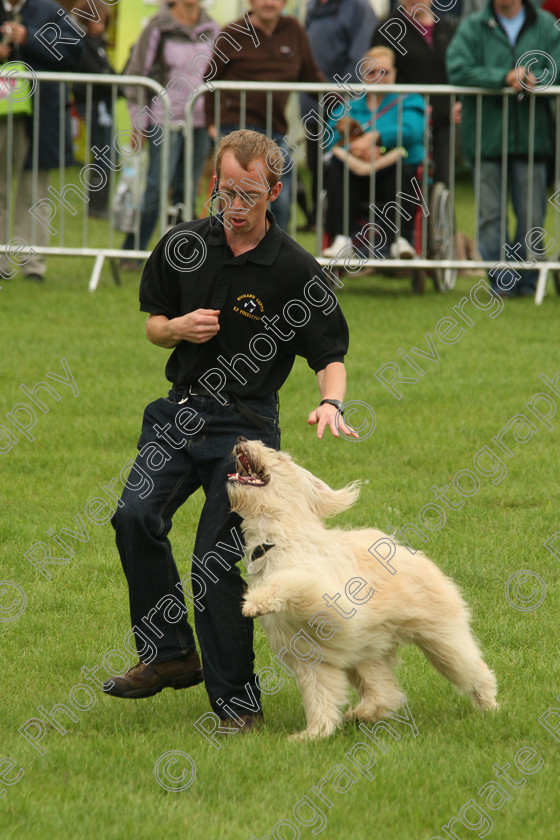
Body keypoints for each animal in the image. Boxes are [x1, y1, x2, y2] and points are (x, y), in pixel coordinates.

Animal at [228, 436, 498, 740]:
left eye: (278, 455)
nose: (241, 438)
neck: (275, 540)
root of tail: (417, 556)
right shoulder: (309, 655)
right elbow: (319, 697)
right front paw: (314, 734)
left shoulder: (328, 603)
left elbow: (292, 581)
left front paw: (256, 601)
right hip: (368, 651)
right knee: (383, 690)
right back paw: (365, 712)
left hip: (441, 639)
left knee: (472, 669)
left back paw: (490, 707)